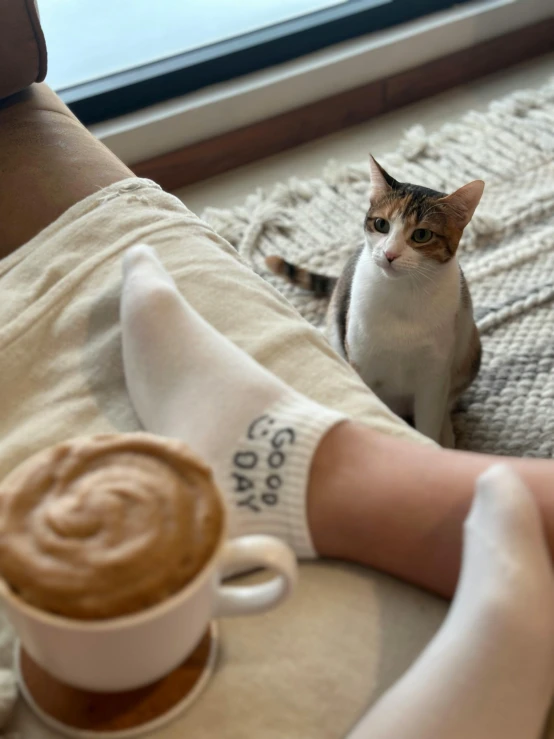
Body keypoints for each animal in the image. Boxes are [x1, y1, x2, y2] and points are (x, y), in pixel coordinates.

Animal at [266, 153, 480, 448]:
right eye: (381, 225)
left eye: (421, 235)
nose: (389, 254)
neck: (402, 292)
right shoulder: (362, 363)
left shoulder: (434, 374)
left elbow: (429, 421)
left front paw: (432, 443)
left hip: (468, 351)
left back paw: (447, 433)